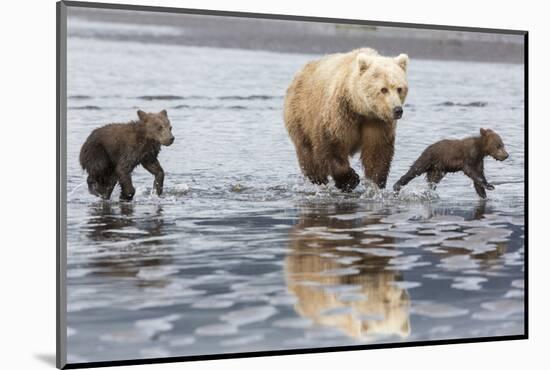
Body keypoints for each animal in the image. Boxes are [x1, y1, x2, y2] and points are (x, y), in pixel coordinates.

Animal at [284, 47, 410, 191]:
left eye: (399, 88)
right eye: (383, 89)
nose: (397, 110)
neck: (360, 109)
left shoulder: (377, 122)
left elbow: (377, 152)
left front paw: (375, 183)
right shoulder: (339, 114)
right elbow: (331, 144)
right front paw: (350, 180)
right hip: (301, 114)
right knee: (308, 153)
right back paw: (318, 180)